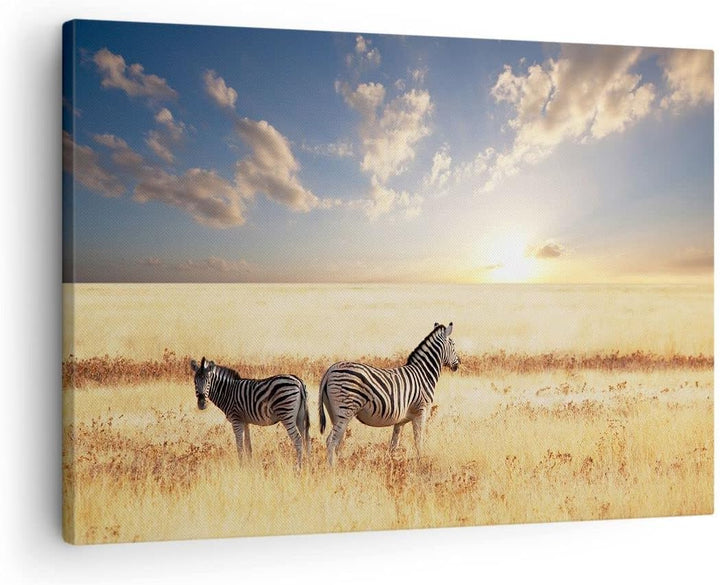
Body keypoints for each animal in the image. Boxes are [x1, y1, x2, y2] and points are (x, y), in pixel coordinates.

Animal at [318, 322, 460, 465]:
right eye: (453, 344)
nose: (458, 364)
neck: (423, 374)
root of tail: (330, 370)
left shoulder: (400, 419)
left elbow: (394, 445)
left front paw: (391, 464)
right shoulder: (421, 411)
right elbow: (418, 441)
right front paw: (420, 463)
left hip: (335, 413)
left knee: (338, 441)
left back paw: (342, 464)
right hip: (345, 411)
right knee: (331, 441)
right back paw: (332, 467)